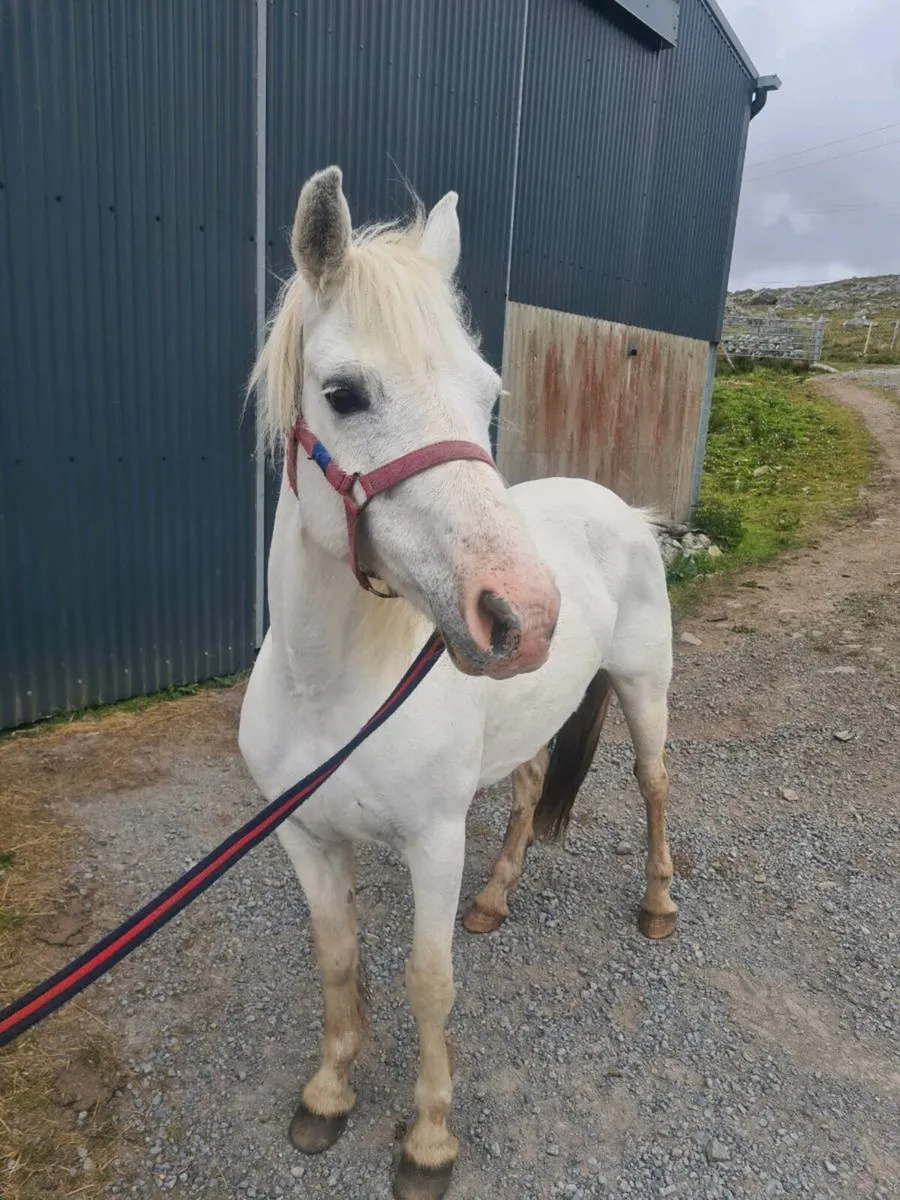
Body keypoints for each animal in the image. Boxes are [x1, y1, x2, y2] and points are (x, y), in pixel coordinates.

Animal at [238, 166, 676, 1200]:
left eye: (488, 392)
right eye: (344, 393)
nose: (525, 615)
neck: (332, 691)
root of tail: (620, 508)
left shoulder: (433, 841)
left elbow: (427, 983)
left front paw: (428, 1142)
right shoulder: (305, 839)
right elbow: (338, 961)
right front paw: (327, 1095)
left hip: (644, 691)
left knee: (652, 787)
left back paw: (657, 905)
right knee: (527, 789)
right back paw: (496, 899)